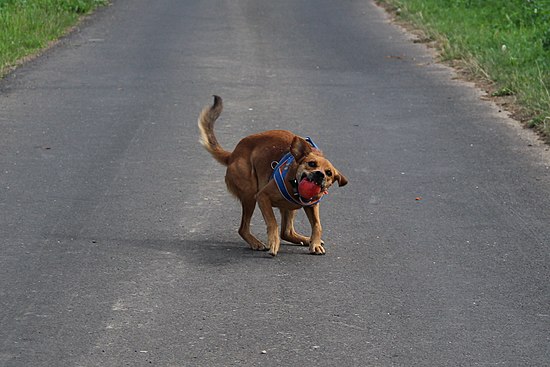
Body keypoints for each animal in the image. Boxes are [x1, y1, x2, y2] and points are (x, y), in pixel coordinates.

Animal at [198, 95, 350, 256]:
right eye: (312, 164)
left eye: (329, 173)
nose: (319, 175)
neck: (294, 183)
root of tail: (233, 154)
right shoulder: (262, 197)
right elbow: (273, 223)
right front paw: (273, 242)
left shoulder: (312, 205)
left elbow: (317, 225)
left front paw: (314, 243)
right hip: (250, 194)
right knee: (244, 228)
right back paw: (256, 243)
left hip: (287, 208)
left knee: (287, 232)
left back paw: (305, 239)